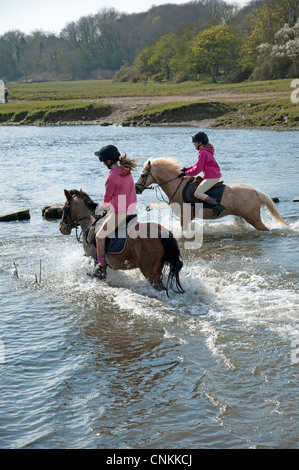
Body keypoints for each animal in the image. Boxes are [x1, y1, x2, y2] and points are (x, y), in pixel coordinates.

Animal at [136, 158, 290, 231]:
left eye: (143, 175)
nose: (137, 188)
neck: (176, 185)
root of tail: (255, 191)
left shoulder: (184, 217)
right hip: (241, 217)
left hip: (254, 219)